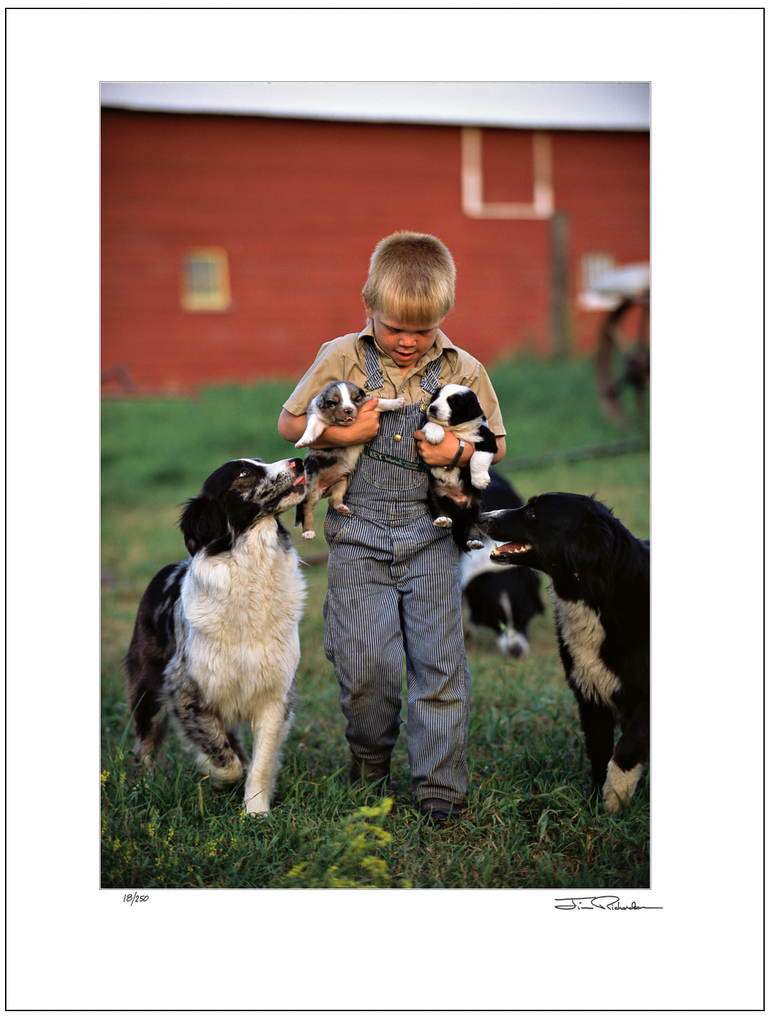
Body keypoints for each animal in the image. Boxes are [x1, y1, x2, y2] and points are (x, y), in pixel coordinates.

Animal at [125, 456, 307, 815]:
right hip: (147, 688)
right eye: (244, 473)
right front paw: (216, 776)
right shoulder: (185, 690)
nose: (299, 460)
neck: (252, 565)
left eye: (262, 461)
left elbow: (260, 761)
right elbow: (225, 760)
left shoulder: (275, 693)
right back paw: (145, 786)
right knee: (145, 743)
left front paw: (256, 810)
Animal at [292, 380, 405, 540]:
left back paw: (342, 507)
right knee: (307, 510)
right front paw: (303, 440)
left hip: (342, 482)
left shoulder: (367, 403)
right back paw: (308, 532)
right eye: (332, 403)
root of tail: (323, 490)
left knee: (334, 499)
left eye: (355, 399)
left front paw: (397, 402)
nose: (348, 410)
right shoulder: (317, 416)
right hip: (311, 487)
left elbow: (380, 401)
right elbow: (312, 427)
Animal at [419, 382, 499, 552]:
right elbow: (431, 423)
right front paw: (435, 434)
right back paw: (443, 520)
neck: (456, 429)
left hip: (477, 504)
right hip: (436, 495)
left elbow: (478, 457)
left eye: (453, 403)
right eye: (436, 398)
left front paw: (479, 479)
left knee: (474, 524)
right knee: (441, 508)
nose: (432, 408)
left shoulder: (487, 439)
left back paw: (475, 541)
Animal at [477, 491, 647, 811]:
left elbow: (628, 746)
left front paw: (615, 797)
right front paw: (596, 806)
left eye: (533, 514)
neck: (595, 596)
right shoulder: (591, 695)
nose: (480, 516)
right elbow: (600, 752)